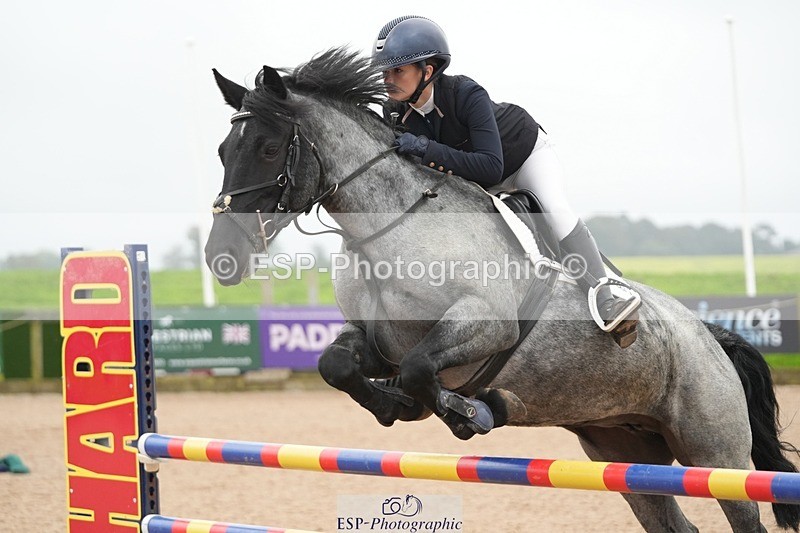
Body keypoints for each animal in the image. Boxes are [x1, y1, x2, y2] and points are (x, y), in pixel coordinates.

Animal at [203, 48, 799, 532]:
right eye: (223, 150)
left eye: (268, 147)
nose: (220, 258)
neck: (389, 228)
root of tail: (710, 335)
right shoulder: (375, 339)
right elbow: (338, 366)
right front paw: (398, 406)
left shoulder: (486, 324)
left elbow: (421, 370)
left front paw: (472, 411)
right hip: (624, 451)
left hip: (715, 454)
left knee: (742, 512)